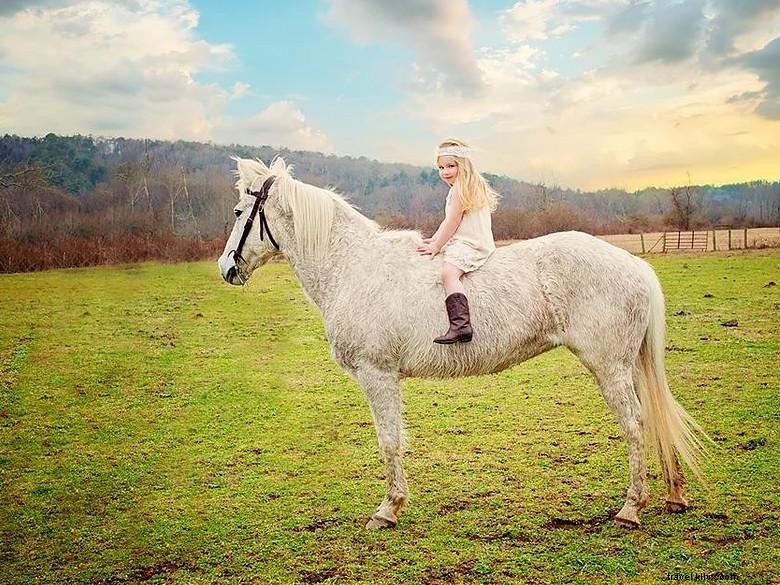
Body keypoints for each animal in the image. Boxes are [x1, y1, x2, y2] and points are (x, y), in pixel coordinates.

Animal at [217, 156, 707, 530]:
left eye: (240, 212)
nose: (226, 268)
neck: (354, 265)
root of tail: (633, 265)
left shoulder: (378, 375)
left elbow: (389, 442)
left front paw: (388, 510)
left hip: (608, 367)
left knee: (635, 424)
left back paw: (631, 508)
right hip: (630, 365)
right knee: (654, 418)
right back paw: (674, 495)